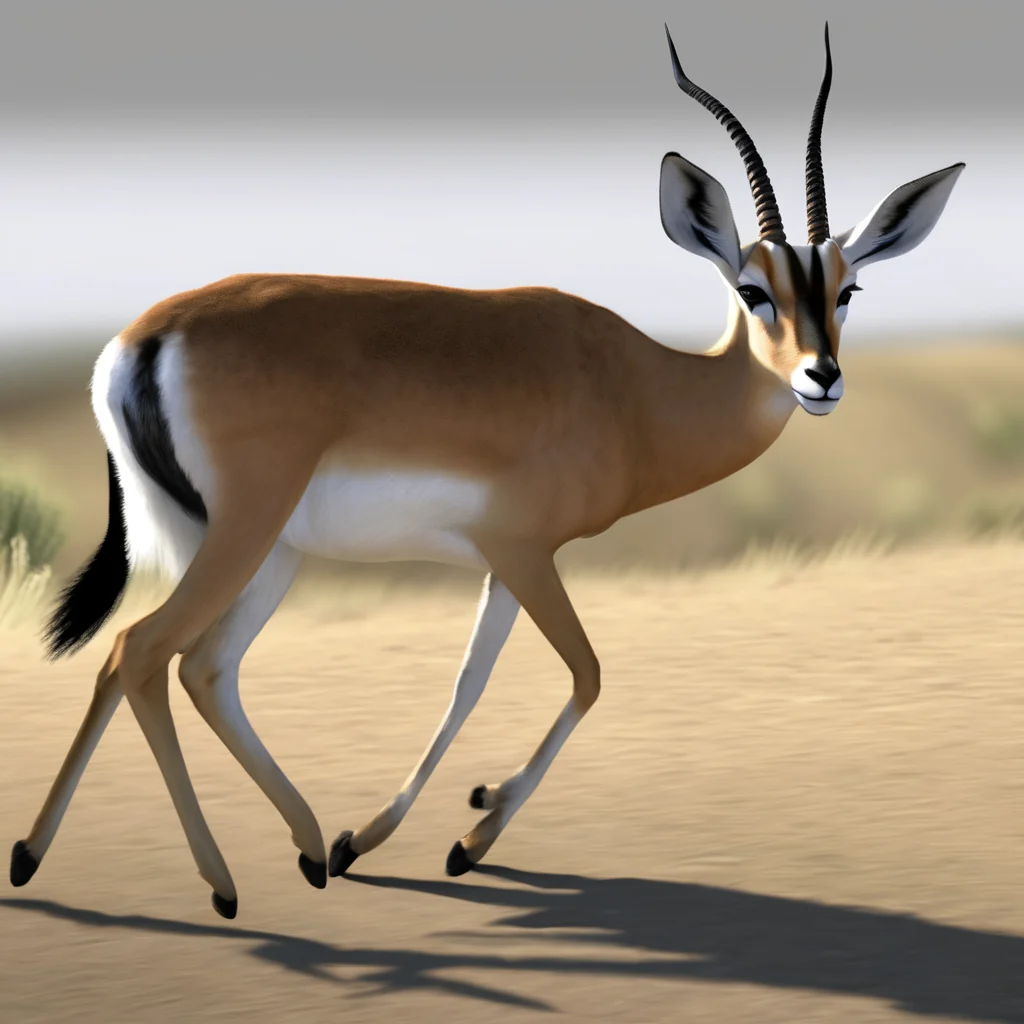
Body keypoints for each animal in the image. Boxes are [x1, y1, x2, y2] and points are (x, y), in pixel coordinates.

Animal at [11, 24, 963, 919]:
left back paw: (283, 849)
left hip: (266, 550)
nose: (820, 377)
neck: (634, 390)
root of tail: (143, 338)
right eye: (752, 289)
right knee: (139, 651)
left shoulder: (502, 562)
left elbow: (469, 682)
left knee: (200, 668)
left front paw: (374, 839)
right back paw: (192, 881)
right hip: (243, 536)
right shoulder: (527, 553)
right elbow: (585, 675)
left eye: (846, 290)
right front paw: (471, 834)